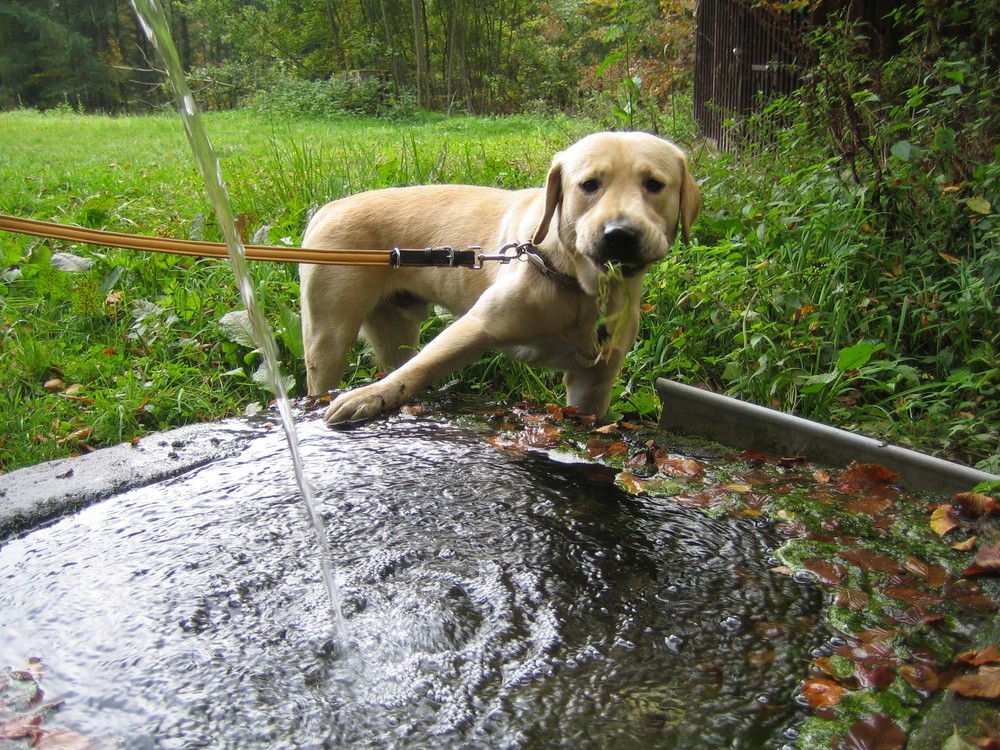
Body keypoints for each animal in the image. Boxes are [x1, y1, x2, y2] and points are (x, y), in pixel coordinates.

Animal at [300, 133, 700, 426]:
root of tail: (328, 208)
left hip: (394, 329)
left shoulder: (594, 382)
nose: (619, 234)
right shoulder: (474, 327)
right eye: (589, 184)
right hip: (328, 337)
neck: (572, 281)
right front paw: (369, 396)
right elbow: (417, 370)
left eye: (654, 184)